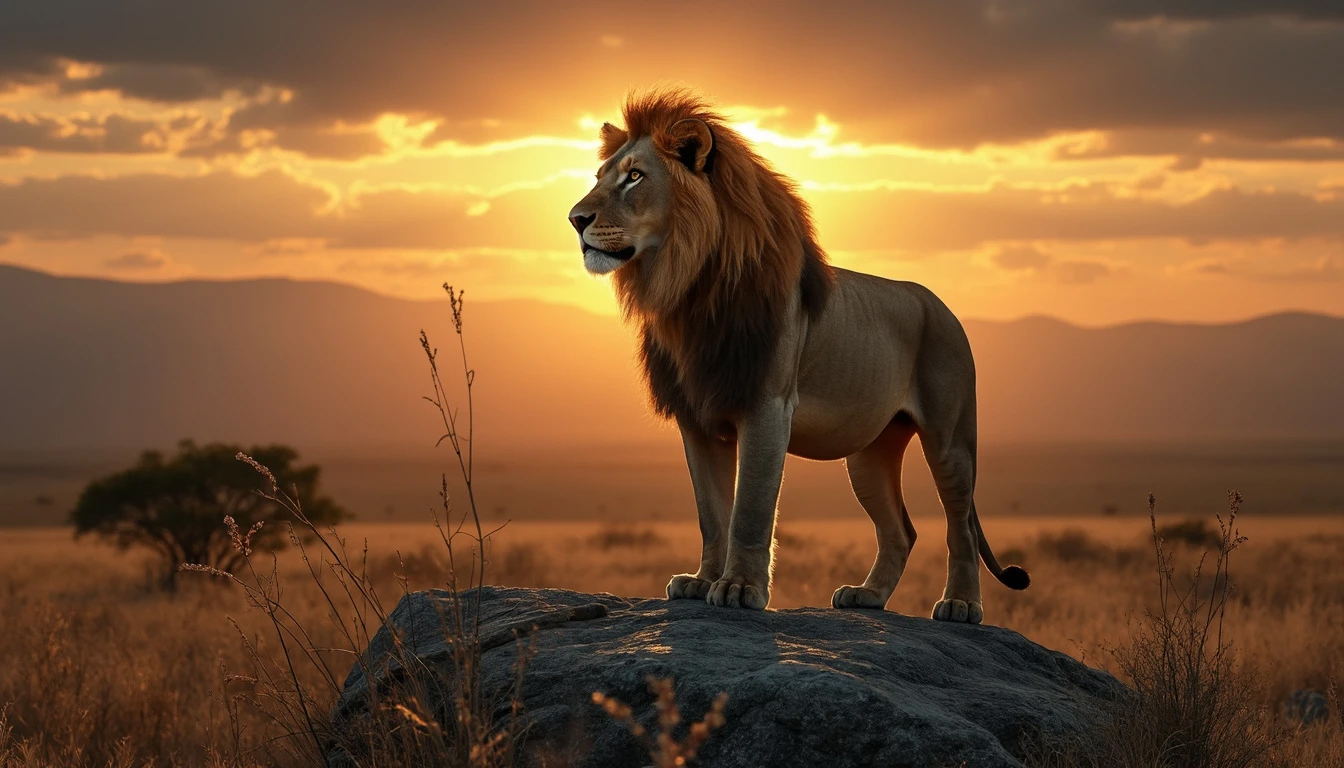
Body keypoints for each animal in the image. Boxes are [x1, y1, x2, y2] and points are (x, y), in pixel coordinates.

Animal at [567, 88, 1026, 624]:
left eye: (635, 176)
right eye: (599, 177)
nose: (575, 219)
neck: (688, 289)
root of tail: (943, 306)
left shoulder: (767, 406)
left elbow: (749, 510)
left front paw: (740, 588)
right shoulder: (696, 416)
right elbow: (711, 514)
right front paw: (701, 581)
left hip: (949, 439)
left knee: (962, 526)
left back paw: (960, 605)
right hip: (868, 454)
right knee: (901, 530)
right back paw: (867, 595)